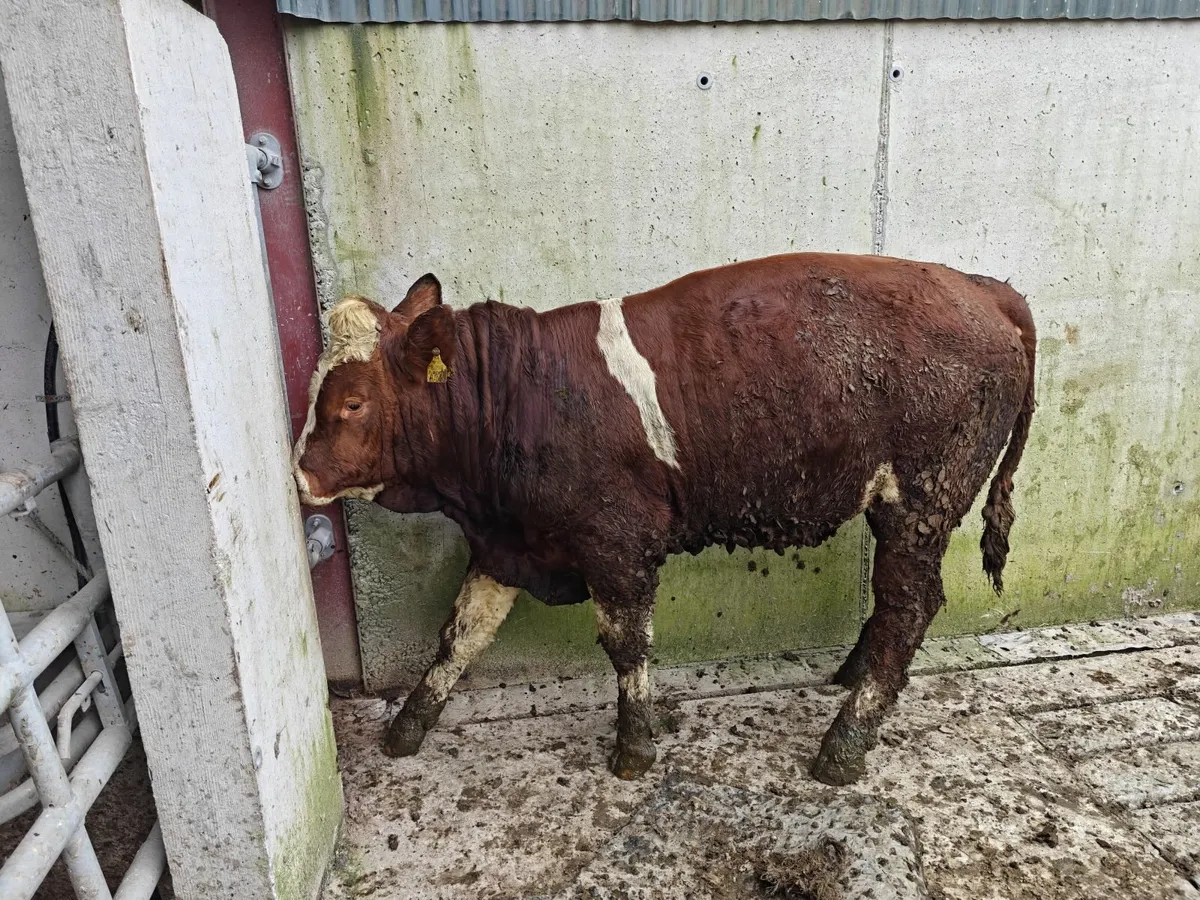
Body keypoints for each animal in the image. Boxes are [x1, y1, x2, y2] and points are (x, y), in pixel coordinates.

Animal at [292, 253, 1036, 786]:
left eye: (353, 403)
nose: (300, 475)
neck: (525, 393)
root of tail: (981, 287)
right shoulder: (506, 544)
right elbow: (459, 637)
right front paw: (407, 729)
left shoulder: (617, 544)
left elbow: (627, 646)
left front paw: (635, 747)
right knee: (894, 610)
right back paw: (853, 674)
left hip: (922, 506)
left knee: (910, 606)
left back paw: (844, 744)